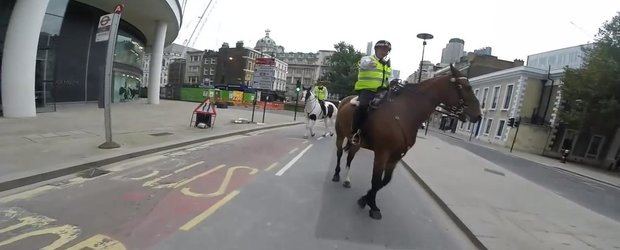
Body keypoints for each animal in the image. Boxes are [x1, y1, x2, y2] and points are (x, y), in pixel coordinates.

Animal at [334, 64, 480, 219]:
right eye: (465, 87)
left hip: (357, 142)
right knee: (339, 153)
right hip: (340, 135)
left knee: (350, 157)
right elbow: (376, 180)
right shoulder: (382, 154)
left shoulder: (396, 156)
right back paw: (336, 174)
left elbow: (384, 181)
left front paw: (367, 201)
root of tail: (345, 100)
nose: (478, 114)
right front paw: (370, 204)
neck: (404, 113)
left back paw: (347, 180)